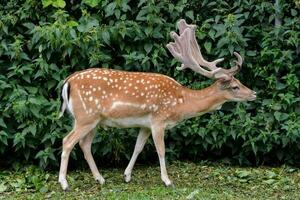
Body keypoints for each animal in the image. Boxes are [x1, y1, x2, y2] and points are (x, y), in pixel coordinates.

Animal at [58, 19, 255, 190]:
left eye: (240, 82)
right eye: (235, 86)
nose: (254, 93)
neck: (181, 103)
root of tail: (68, 81)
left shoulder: (145, 125)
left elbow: (138, 147)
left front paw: (127, 176)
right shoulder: (159, 120)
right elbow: (161, 150)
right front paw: (167, 180)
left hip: (92, 120)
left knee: (84, 144)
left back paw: (100, 178)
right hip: (86, 116)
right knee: (67, 141)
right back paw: (64, 183)